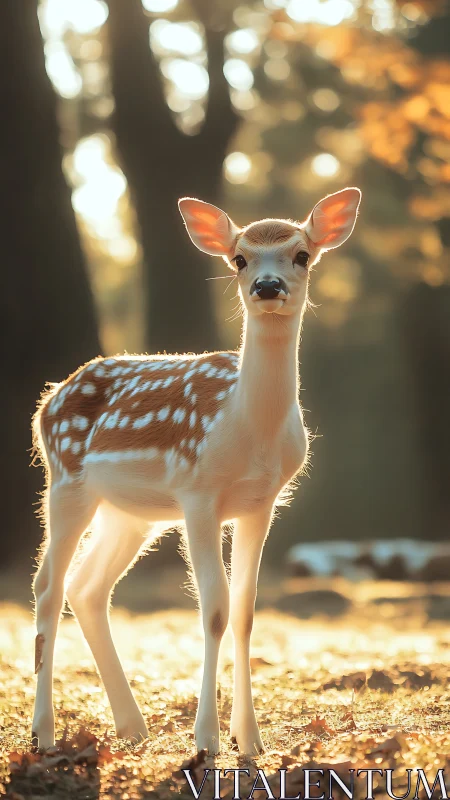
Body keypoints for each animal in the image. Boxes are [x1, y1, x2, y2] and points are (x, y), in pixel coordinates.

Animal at [31, 187, 361, 756]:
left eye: (302, 254)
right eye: (239, 258)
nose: (267, 286)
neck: (248, 429)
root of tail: (48, 400)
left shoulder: (261, 503)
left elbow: (246, 611)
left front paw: (249, 740)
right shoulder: (198, 494)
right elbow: (214, 609)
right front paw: (206, 738)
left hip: (130, 514)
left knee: (87, 587)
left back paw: (132, 727)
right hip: (67, 482)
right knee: (47, 586)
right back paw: (44, 734)